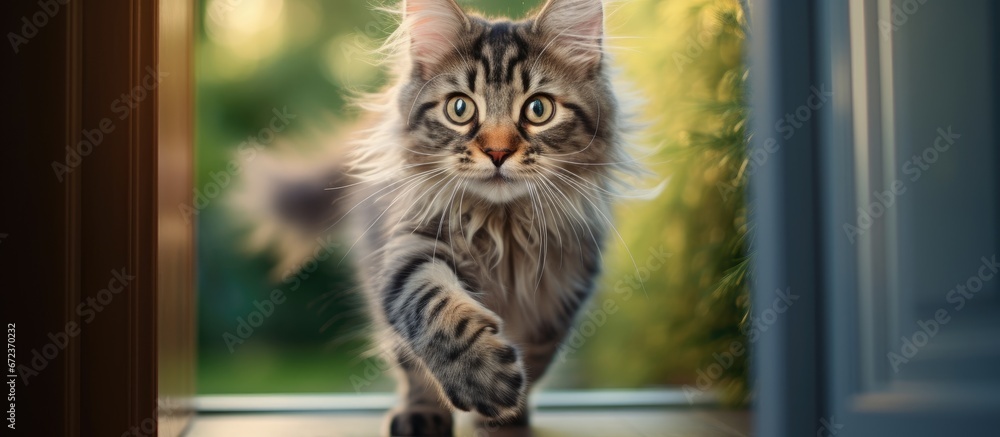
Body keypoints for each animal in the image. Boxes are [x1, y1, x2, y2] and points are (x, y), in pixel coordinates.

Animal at [239, 0, 644, 432]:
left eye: (538, 109)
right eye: (460, 108)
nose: (498, 152)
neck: (503, 226)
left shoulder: (560, 293)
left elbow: (535, 360)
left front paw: (506, 420)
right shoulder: (411, 245)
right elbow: (432, 308)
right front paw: (484, 380)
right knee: (408, 363)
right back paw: (419, 415)